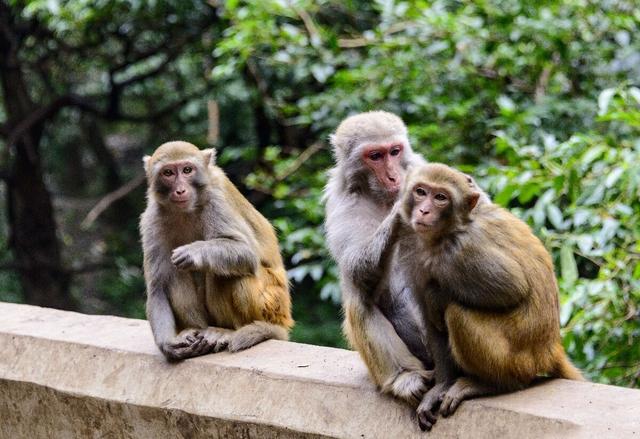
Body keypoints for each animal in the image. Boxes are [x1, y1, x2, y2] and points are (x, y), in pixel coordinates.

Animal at [141, 141, 294, 360]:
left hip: (272, 302)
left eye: (187, 170)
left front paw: (195, 252)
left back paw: (228, 331)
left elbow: (247, 252)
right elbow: (158, 285)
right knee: (174, 274)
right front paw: (168, 345)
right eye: (168, 173)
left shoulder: (217, 200)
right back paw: (194, 329)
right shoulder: (152, 218)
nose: (180, 190)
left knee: (226, 273)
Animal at [324, 111, 436, 408]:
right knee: (360, 297)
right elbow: (355, 269)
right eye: (375, 156)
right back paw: (404, 377)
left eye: (394, 151)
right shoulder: (342, 203)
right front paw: (400, 213)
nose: (394, 176)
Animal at [396, 163, 584, 432]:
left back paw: (492, 384)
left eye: (441, 197)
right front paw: (440, 386)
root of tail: (549, 348)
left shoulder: (463, 249)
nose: (424, 210)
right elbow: (431, 322)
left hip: (516, 360)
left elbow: (511, 287)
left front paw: (436, 294)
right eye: (421, 192)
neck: (446, 234)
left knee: (457, 313)